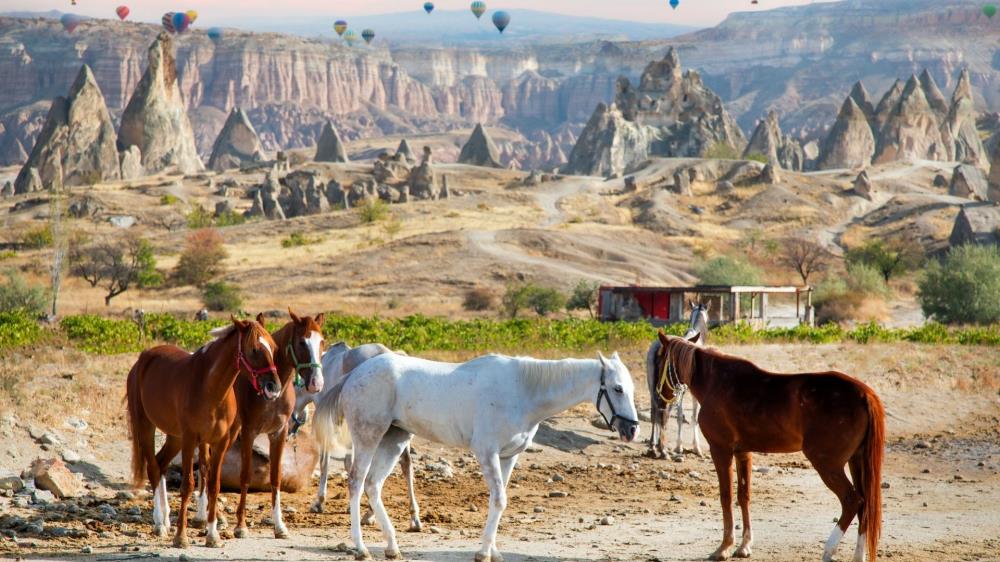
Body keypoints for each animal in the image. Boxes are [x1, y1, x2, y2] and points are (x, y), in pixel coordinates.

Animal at [126, 315, 280, 548]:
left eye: (273, 347)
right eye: (254, 349)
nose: (274, 387)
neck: (211, 389)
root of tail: (143, 359)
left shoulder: (220, 442)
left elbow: (214, 485)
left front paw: (212, 535)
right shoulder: (191, 439)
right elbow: (187, 485)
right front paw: (181, 537)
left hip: (175, 437)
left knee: (161, 464)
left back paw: (165, 519)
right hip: (146, 427)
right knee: (153, 468)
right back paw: (160, 524)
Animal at [191, 309, 326, 539]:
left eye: (322, 342)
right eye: (302, 342)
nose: (316, 383)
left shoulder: (278, 434)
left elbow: (276, 477)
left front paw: (279, 526)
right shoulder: (249, 432)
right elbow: (245, 476)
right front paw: (241, 525)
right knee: (204, 467)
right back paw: (204, 516)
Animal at [315, 351, 640, 562]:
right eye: (617, 388)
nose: (632, 429)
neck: (522, 391)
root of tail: (353, 374)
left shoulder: (508, 457)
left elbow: (500, 499)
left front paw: (493, 550)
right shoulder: (487, 453)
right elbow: (499, 500)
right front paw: (483, 552)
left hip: (394, 441)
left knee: (373, 485)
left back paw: (393, 546)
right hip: (369, 437)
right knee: (357, 482)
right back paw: (360, 548)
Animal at [646, 301, 707, 458]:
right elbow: (692, 417)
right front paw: (692, 447)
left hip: (654, 385)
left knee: (656, 411)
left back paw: (654, 446)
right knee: (663, 413)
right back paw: (661, 448)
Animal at [652, 332, 884, 562]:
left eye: (660, 359)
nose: (659, 394)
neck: (716, 382)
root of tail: (864, 394)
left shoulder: (721, 450)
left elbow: (726, 496)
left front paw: (724, 547)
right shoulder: (743, 453)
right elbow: (743, 496)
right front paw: (744, 545)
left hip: (828, 465)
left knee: (852, 501)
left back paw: (828, 550)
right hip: (856, 462)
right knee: (865, 506)